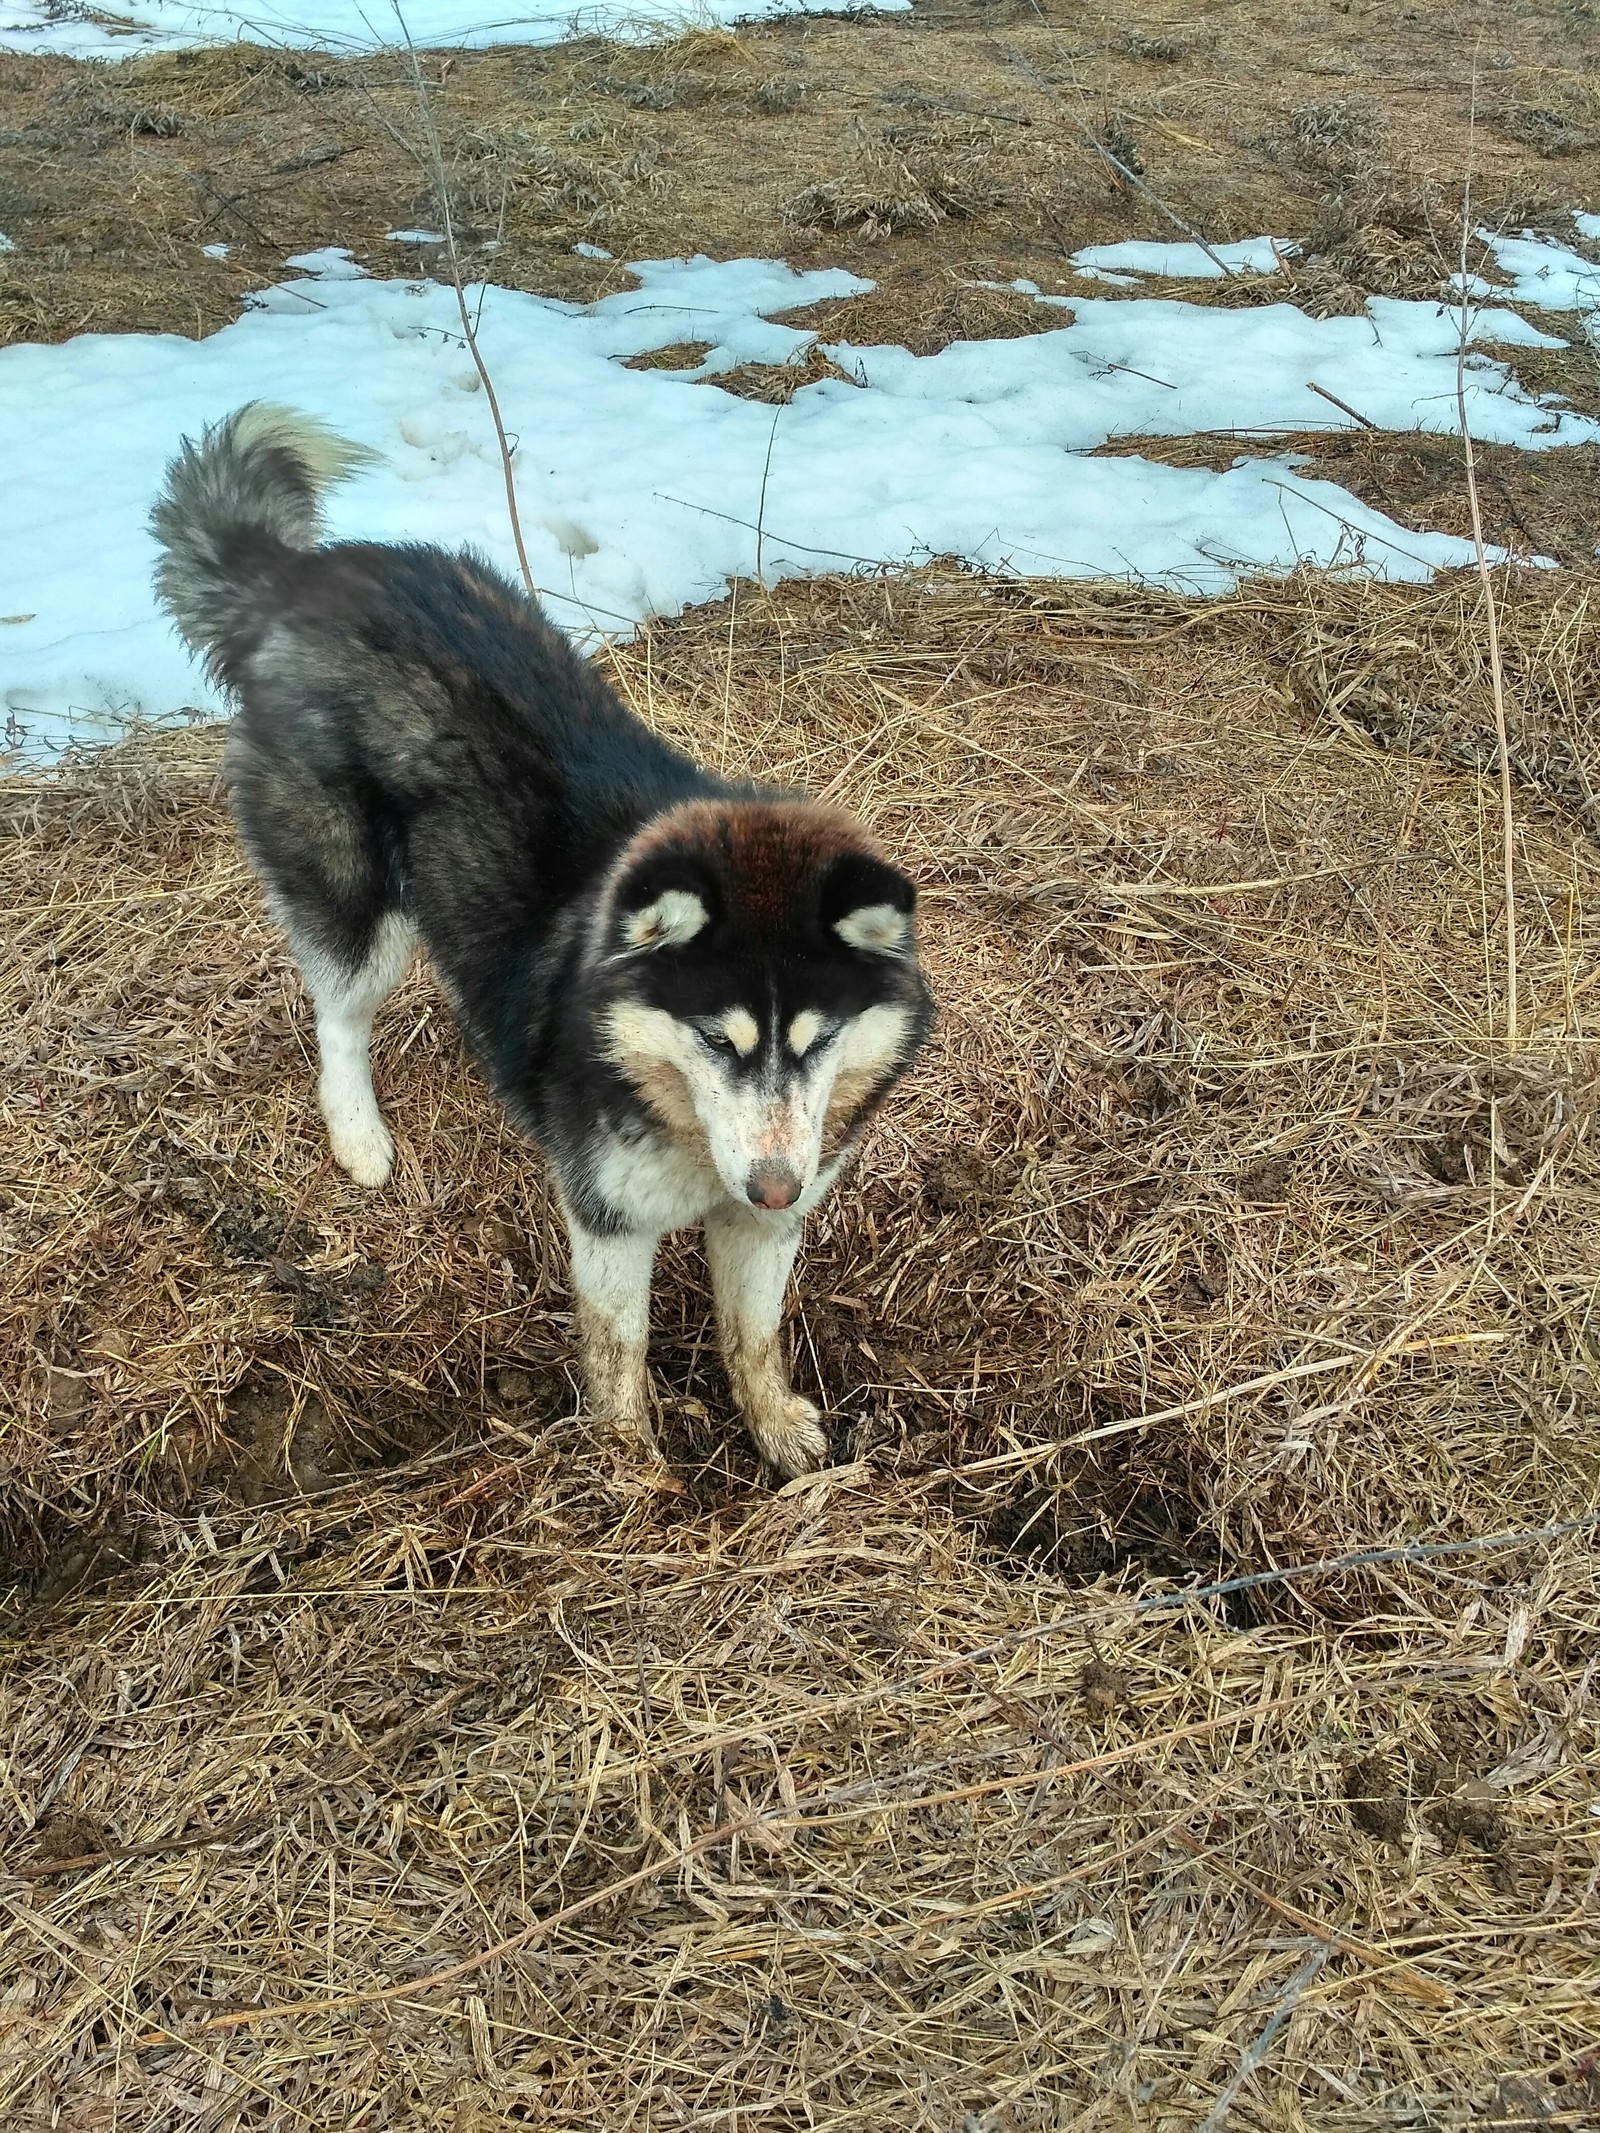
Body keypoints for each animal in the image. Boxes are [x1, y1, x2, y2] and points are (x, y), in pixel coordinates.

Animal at [154, 407, 934, 1484]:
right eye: (717, 1040)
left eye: (819, 1041)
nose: (773, 1182)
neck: (676, 1116)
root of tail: (310, 572)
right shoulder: (607, 1220)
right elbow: (620, 1351)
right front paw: (631, 1472)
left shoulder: (764, 1218)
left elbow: (753, 1334)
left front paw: (776, 1426)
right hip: (359, 906)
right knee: (338, 1019)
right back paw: (359, 1136)